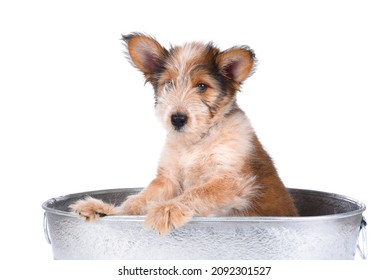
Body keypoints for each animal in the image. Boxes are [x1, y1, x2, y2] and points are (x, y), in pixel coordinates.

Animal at [70, 33, 298, 234]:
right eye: (169, 84)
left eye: (202, 86)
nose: (177, 119)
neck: (196, 142)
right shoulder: (168, 179)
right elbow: (141, 198)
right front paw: (109, 210)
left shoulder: (232, 180)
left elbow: (197, 192)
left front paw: (167, 209)